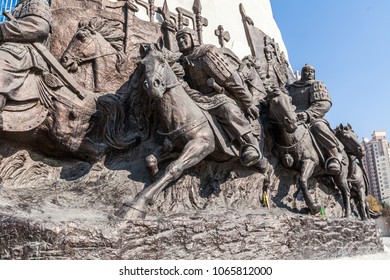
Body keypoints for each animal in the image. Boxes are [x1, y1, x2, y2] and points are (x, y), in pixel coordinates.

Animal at [268, 88, 354, 218]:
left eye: (290, 100)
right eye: (274, 102)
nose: (291, 122)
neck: (293, 136)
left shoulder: (310, 161)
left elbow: (303, 181)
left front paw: (314, 207)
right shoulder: (282, 164)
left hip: (340, 174)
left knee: (346, 191)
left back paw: (347, 214)